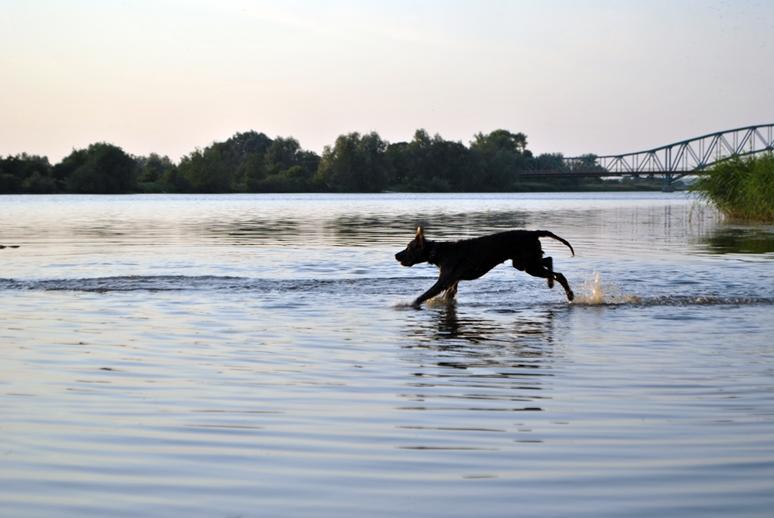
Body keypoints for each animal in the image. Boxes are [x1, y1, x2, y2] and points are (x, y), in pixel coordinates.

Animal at [395, 226, 574, 307]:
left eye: (408, 248)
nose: (396, 255)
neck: (438, 252)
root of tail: (533, 232)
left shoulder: (444, 281)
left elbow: (424, 295)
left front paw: (410, 304)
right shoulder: (453, 281)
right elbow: (448, 295)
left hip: (528, 265)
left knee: (559, 274)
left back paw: (569, 294)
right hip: (525, 263)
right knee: (549, 261)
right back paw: (551, 283)